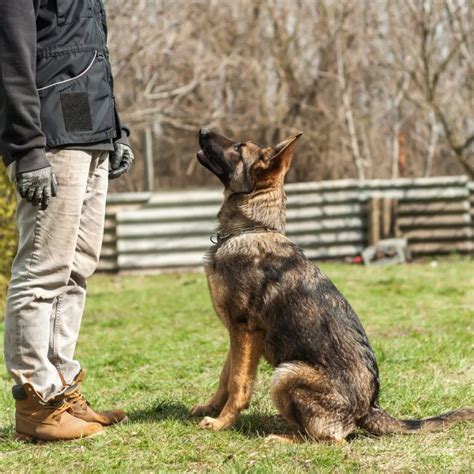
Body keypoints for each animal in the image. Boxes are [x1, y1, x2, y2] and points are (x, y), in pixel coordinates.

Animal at [191, 129, 472, 440]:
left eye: (239, 147)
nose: (203, 130)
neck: (251, 228)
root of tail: (370, 408)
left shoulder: (245, 330)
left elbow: (238, 382)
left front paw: (222, 423)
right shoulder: (236, 332)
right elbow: (225, 376)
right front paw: (209, 408)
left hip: (286, 374)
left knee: (328, 439)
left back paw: (282, 438)